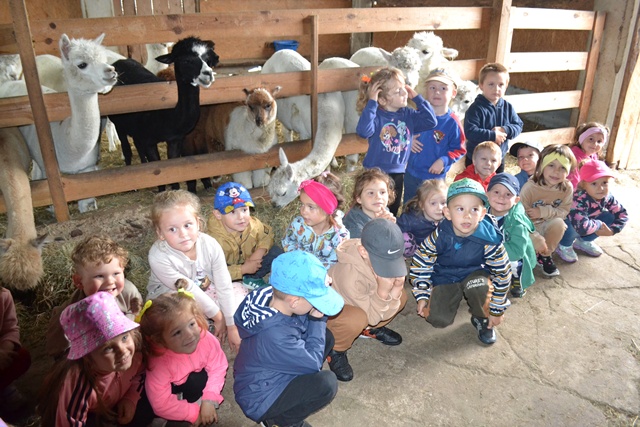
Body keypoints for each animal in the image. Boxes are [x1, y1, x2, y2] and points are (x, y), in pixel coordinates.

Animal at [17, 33, 118, 213]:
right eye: (82, 64)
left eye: (104, 59)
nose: (111, 71)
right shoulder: (49, 168)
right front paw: (50, 207)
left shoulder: (87, 169)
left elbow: (87, 206)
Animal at [109, 37, 218, 191]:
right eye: (186, 60)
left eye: (208, 59)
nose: (208, 74)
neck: (166, 117)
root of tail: (118, 62)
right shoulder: (149, 140)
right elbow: (158, 170)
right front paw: (161, 192)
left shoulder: (174, 140)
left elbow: (171, 170)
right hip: (119, 122)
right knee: (126, 147)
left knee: (137, 144)